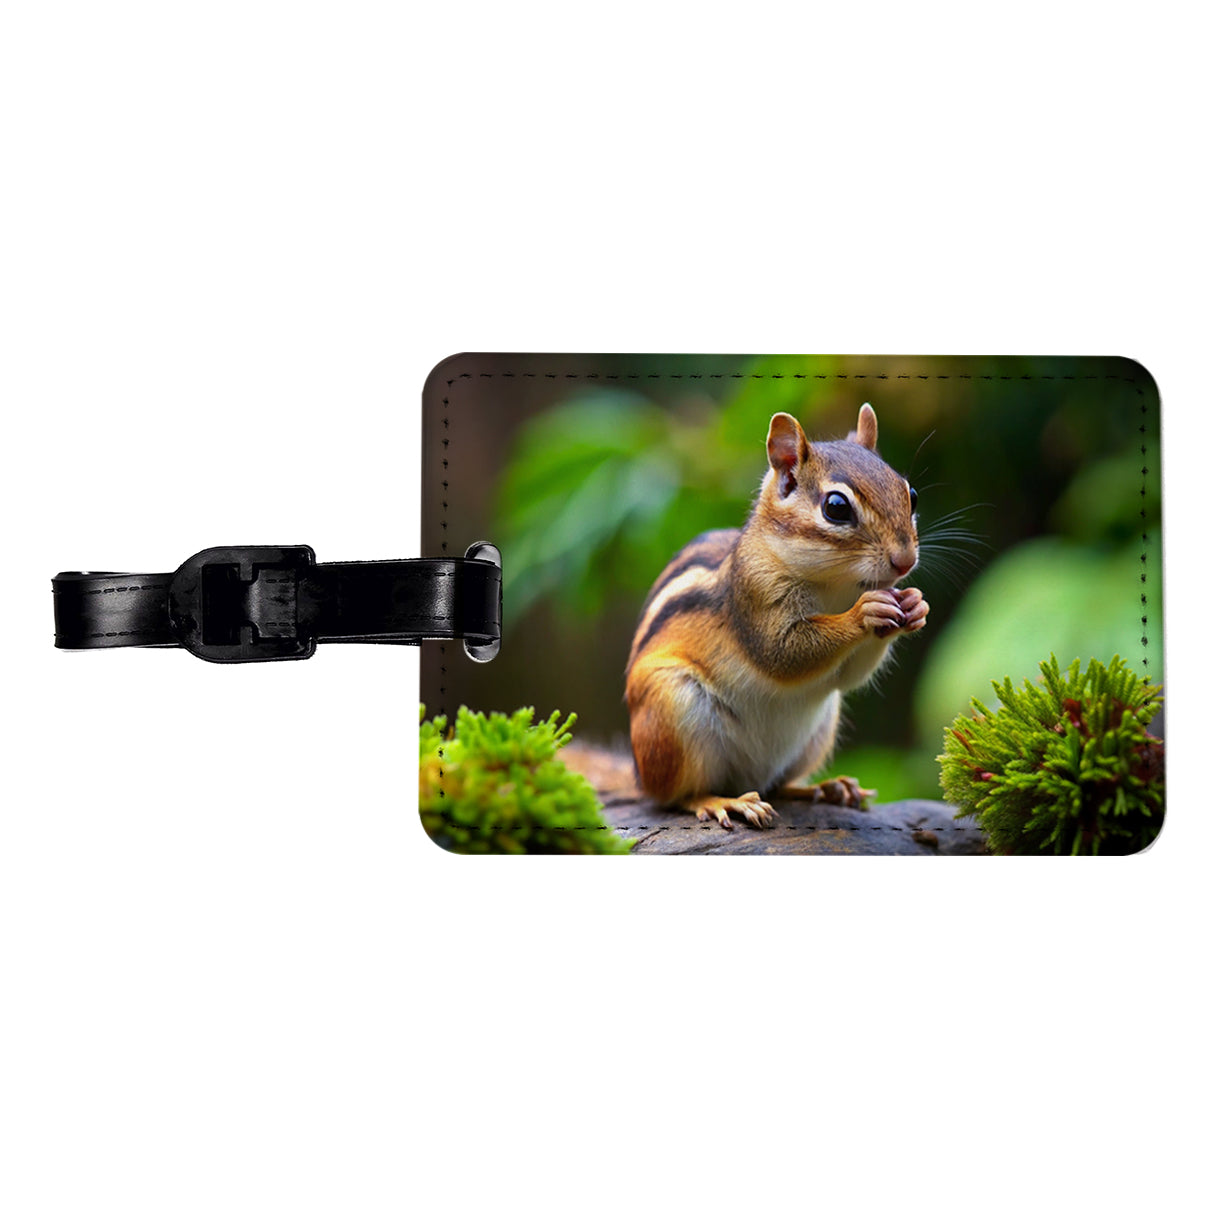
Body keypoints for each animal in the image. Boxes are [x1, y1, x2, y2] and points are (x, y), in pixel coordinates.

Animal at [625, 403, 928, 830]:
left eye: (911, 495)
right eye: (836, 508)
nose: (905, 561)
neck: (836, 586)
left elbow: (849, 676)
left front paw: (915, 604)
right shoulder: (754, 597)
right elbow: (783, 653)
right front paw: (864, 613)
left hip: (820, 729)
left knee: (778, 785)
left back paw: (827, 788)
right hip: (672, 711)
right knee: (675, 796)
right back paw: (724, 801)